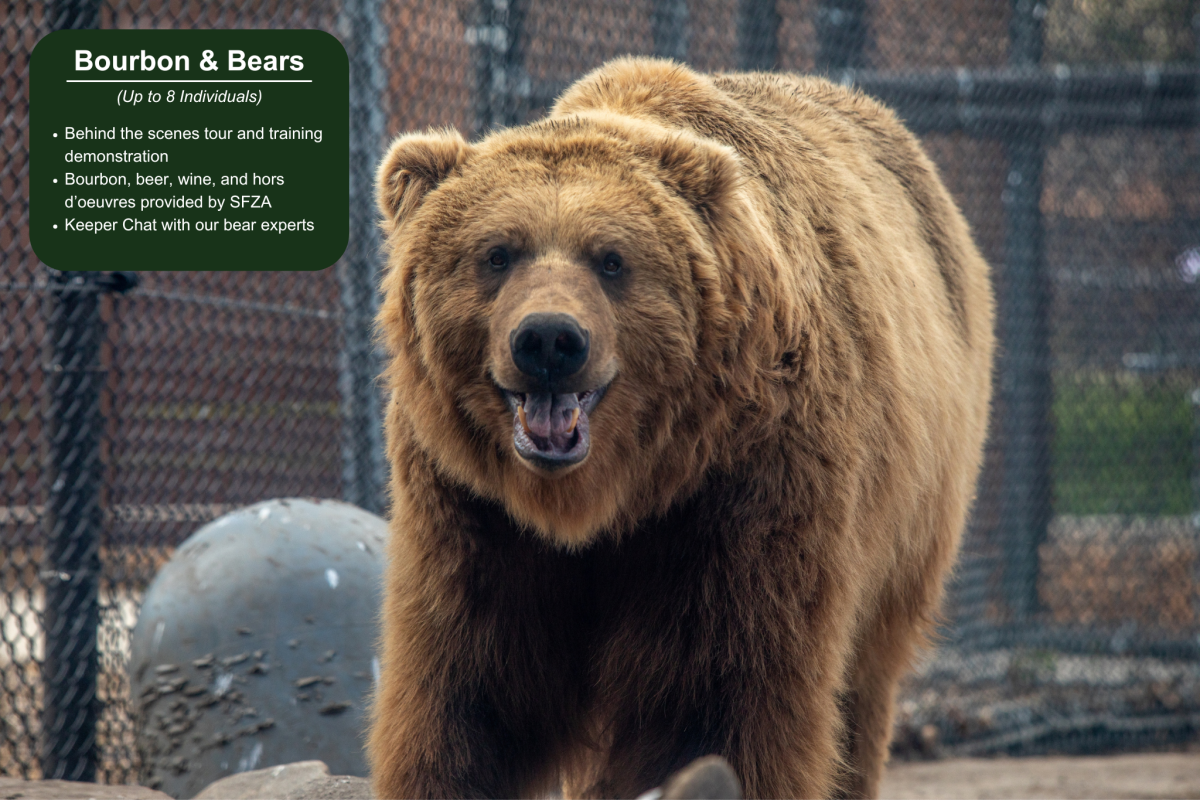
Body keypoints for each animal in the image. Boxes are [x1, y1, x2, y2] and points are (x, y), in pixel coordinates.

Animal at [368, 57, 994, 799]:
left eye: (611, 259)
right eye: (496, 253)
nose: (549, 340)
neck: (610, 495)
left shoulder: (738, 491)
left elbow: (717, 694)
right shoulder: (472, 508)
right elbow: (464, 691)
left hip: (908, 521)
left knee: (862, 682)